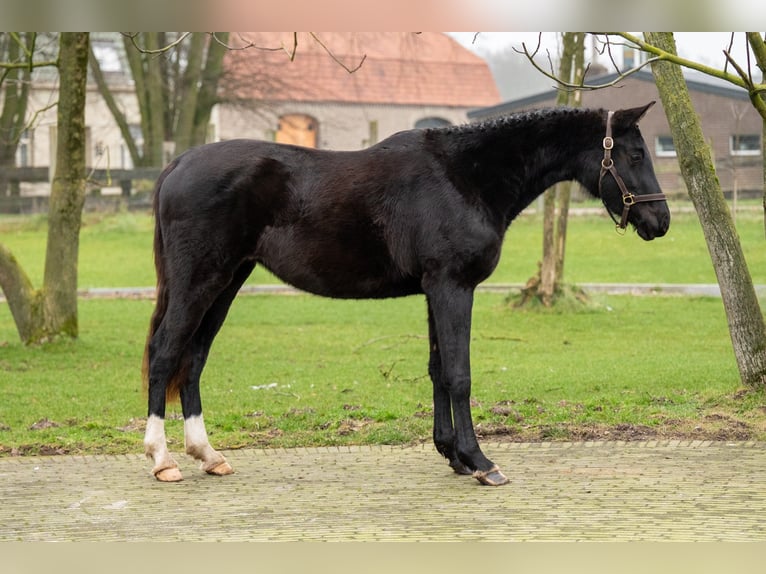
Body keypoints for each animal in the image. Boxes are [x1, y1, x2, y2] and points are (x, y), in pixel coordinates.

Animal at [141, 102, 668, 486]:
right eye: (635, 155)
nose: (659, 221)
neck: (465, 176)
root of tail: (177, 164)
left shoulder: (435, 290)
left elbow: (437, 370)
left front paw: (452, 455)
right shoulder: (453, 287)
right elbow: (459, 374)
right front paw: (480, 461)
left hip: (227, 282)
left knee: (194, 359)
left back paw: (208, 455)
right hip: (200, 281)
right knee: (167, 353)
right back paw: (163, 459)